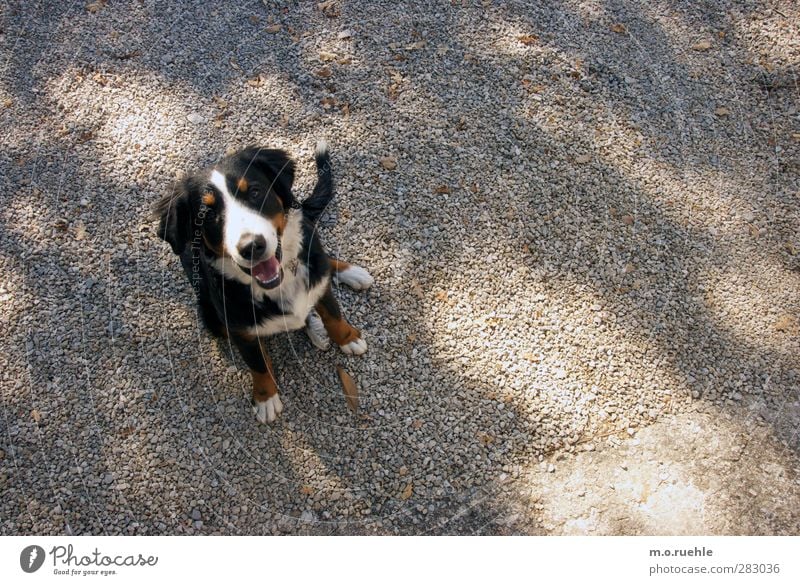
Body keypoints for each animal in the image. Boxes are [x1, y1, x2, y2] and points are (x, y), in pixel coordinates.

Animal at [155, 141, 374, 424]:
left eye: (255, 192)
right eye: (207, 214)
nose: (251, 247)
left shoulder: (319, 283)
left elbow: (333, 315)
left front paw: (348, 338)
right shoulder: (240, 329)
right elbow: (257, 363)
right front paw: (266, 396)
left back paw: (350, 277)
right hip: (210, 316)